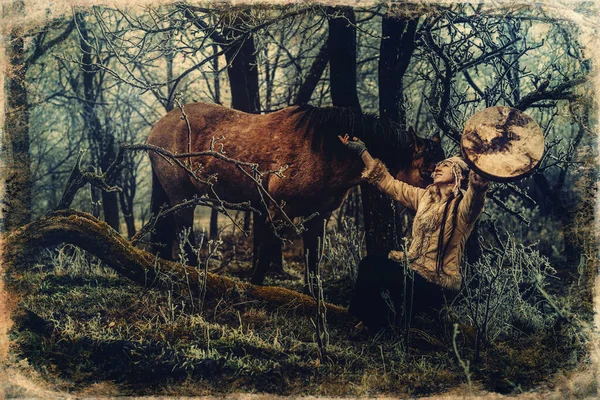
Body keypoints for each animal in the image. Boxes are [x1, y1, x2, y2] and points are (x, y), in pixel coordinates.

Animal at [147, 103, 442, 284]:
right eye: (427, 172)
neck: (324, 148)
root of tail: (158, 126)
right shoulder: (279, 211)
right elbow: (266, 252)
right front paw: (254, 287)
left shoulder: (318, 216)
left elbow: (312, 262)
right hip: (182, 197)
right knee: (184, 237)